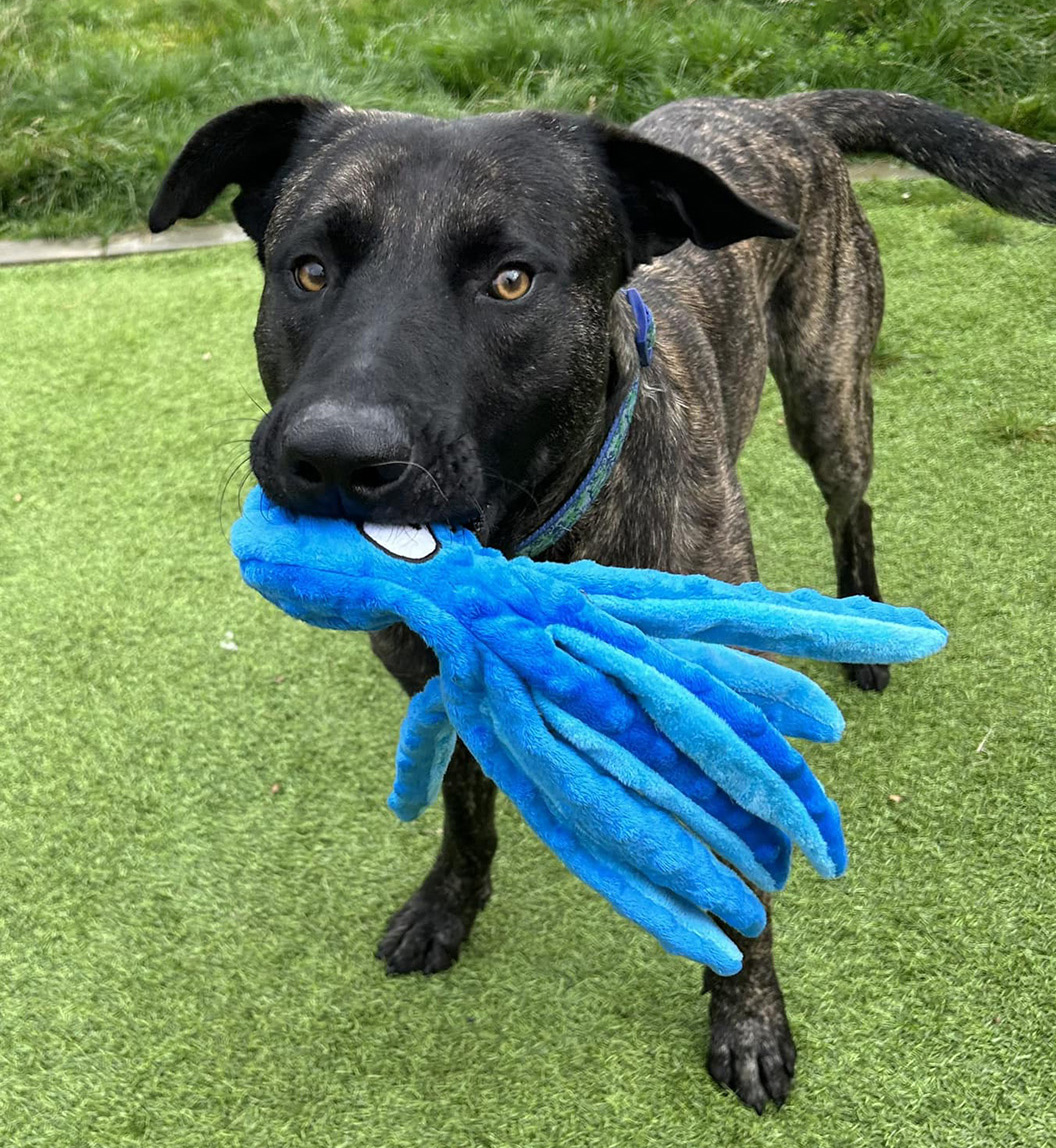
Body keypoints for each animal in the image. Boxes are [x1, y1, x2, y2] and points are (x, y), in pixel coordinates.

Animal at [150, 87, 1056, 1111]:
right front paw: (446, 907)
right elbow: (466, 815)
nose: (337, 457)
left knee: (850, 503)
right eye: (307, 271)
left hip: (829, 395)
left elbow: (744, 883)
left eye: (512, 281)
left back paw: (861, 623)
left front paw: (749, 1016)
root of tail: (778, 105)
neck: (529, 549)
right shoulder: (443, 680)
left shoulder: (719, 718)